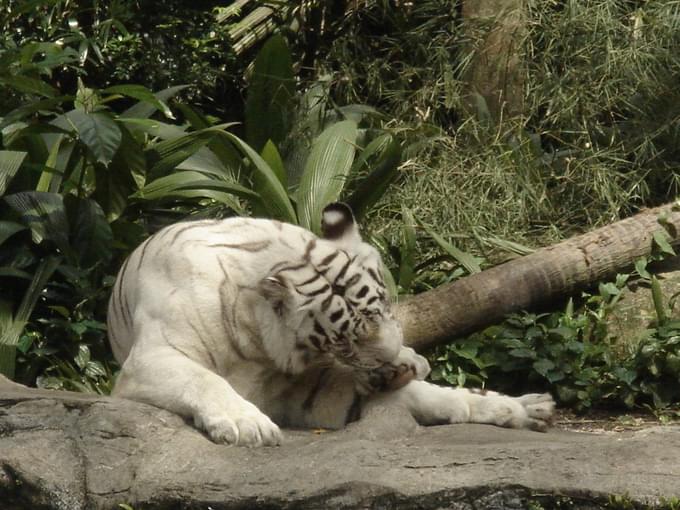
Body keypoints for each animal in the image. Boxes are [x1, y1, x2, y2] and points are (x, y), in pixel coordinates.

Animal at [107, 203, 552, 446]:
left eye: (386, 308)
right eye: (345, 340)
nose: (390, 360)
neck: (255, 344)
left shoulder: (316, 389)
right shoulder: (151, 358)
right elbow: (204, 379)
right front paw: (248, 423)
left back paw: (526, 407)